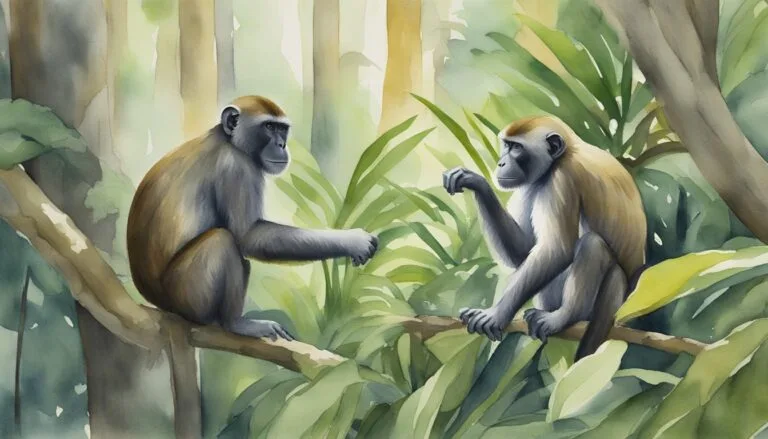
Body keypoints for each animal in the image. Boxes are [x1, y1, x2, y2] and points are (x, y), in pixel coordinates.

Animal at [127, 95, 378, 341]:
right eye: (269, 127)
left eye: (282, 129)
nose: (281, 144)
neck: (227, 139)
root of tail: (160, 303)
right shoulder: (236, 166)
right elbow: (249, 236)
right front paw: (353, 241)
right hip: (185, 295)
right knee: (221, 241)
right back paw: (234, 323)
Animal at [442, 116, 647, 360]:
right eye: (506, 145)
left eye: (517, 148)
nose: (501, 163)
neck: (568, 151)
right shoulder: (538, 180)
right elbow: (524, 252)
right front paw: (478, 184)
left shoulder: (561, 179)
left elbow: (557, 250)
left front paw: (497, 314)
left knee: (591, 244)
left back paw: (565, 316)